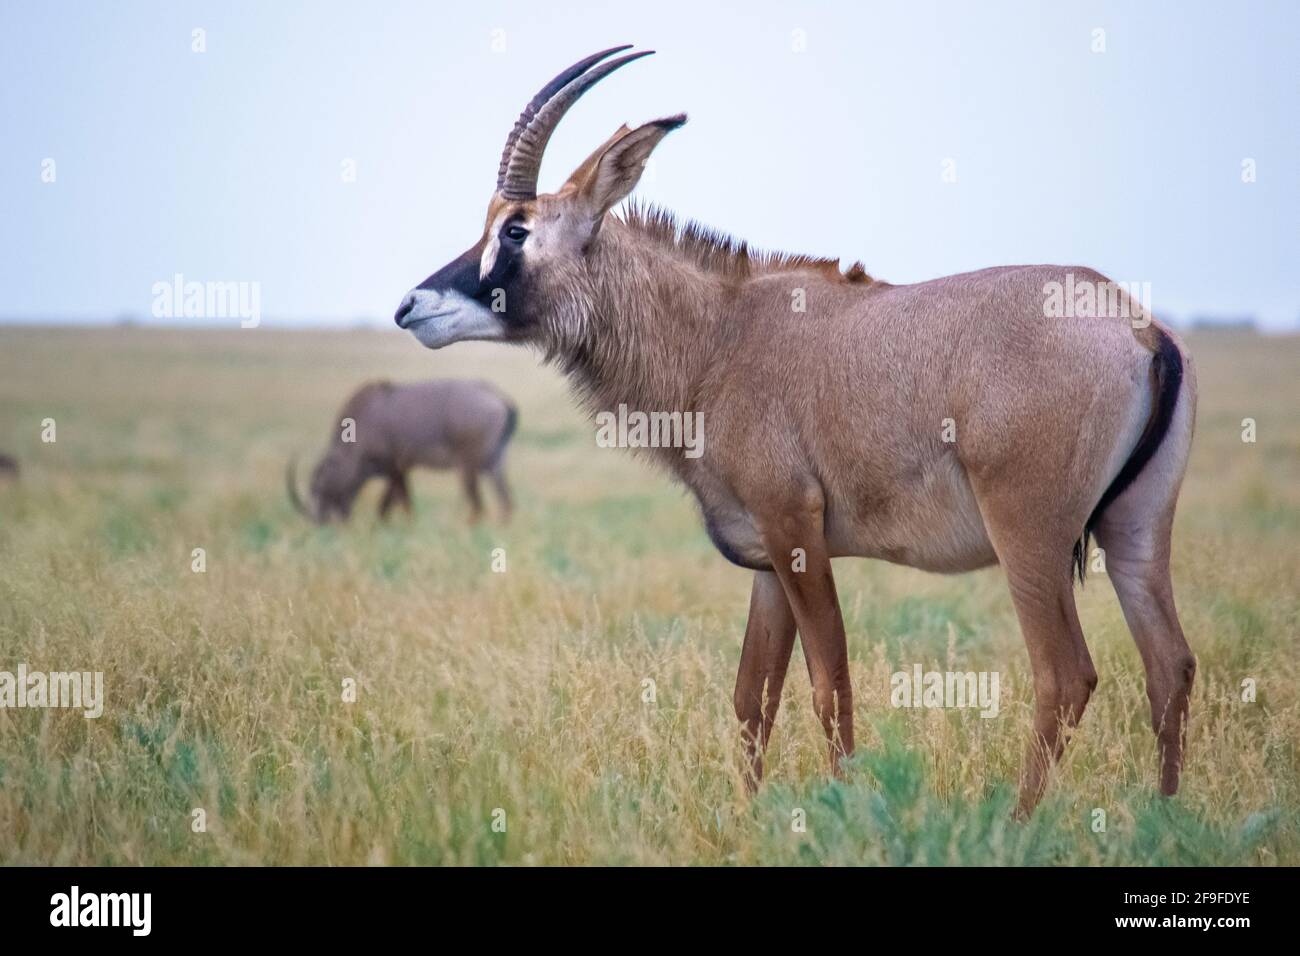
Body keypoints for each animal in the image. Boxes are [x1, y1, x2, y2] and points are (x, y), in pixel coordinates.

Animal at [392, 46, 1196, 816]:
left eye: (516, 229)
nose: (409, 307)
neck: (719, 337)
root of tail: (1141, 331)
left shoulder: (798, 532)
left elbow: (829, 685)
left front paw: (845, 808)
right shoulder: (767, 559)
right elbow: (754, 696)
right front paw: (748, 816)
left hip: (1030, 536)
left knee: (1065, 676)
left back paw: (1018, 822)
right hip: (1136, 529)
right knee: (1170, 665)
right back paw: (1165, 818)